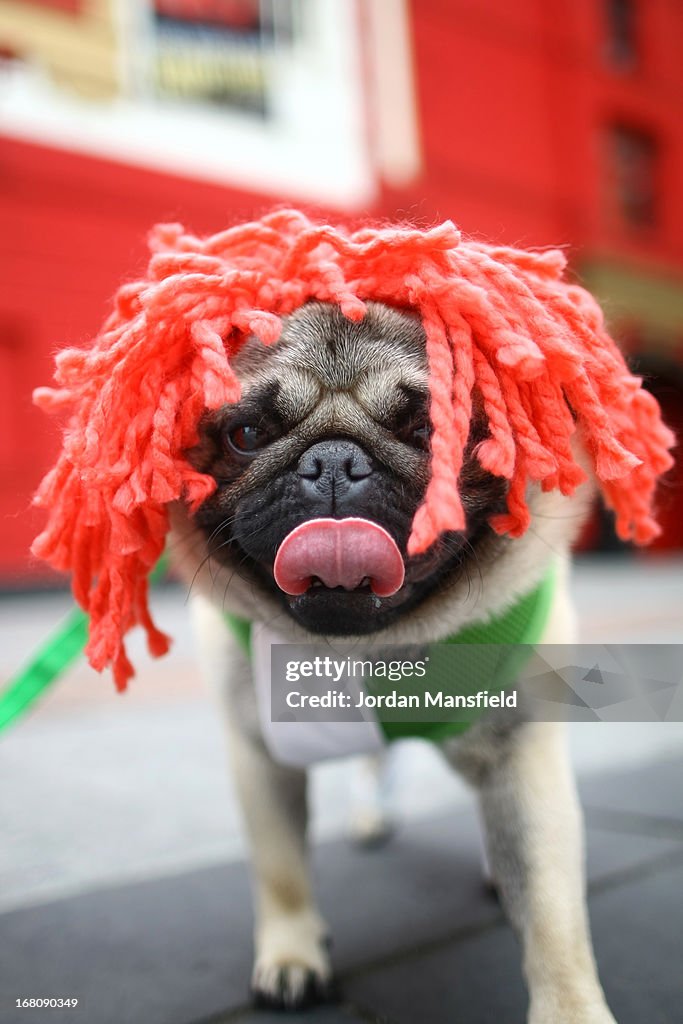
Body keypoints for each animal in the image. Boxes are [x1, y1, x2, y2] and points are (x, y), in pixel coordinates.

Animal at [167, 299, 618, 1024]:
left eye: (432, 431)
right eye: (245, 434)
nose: (331, 462)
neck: (374, 648)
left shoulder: (522, 754)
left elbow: (552, 912)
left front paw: (571, 1011)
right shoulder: (259, 753)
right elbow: (280, 869)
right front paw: (293, 955)